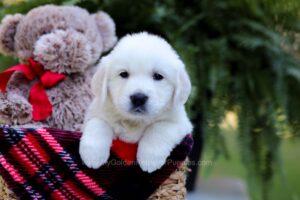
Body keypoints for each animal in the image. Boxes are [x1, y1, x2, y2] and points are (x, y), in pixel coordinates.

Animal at [79, 32, 192, 172]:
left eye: (158, 76)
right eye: (123, 74)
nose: (138, 98)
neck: (134, 121)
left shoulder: (181, 123)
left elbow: (159, 128)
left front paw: (149, 158)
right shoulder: (95, 113)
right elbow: (98, 123)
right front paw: (93, 155)